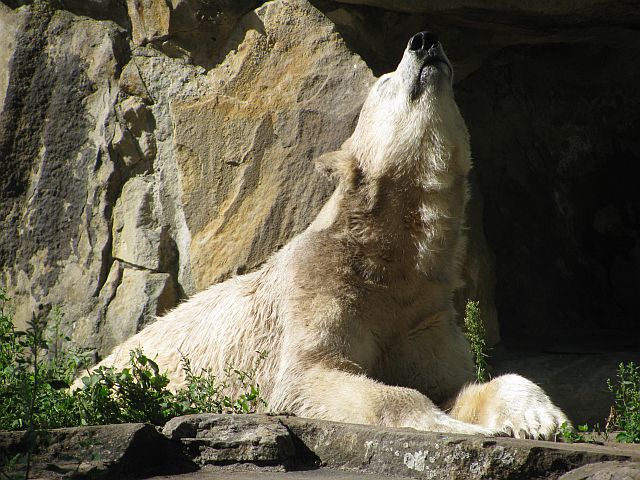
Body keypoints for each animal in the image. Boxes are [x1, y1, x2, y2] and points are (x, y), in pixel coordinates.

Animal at [83, 31, 568, 439]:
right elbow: (316, 374)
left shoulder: (423, 310)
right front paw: (456, 425)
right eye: (385, 84)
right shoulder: (317, 286)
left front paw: (539, 418)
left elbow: (452, 383)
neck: (387, 256)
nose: (425, 40)